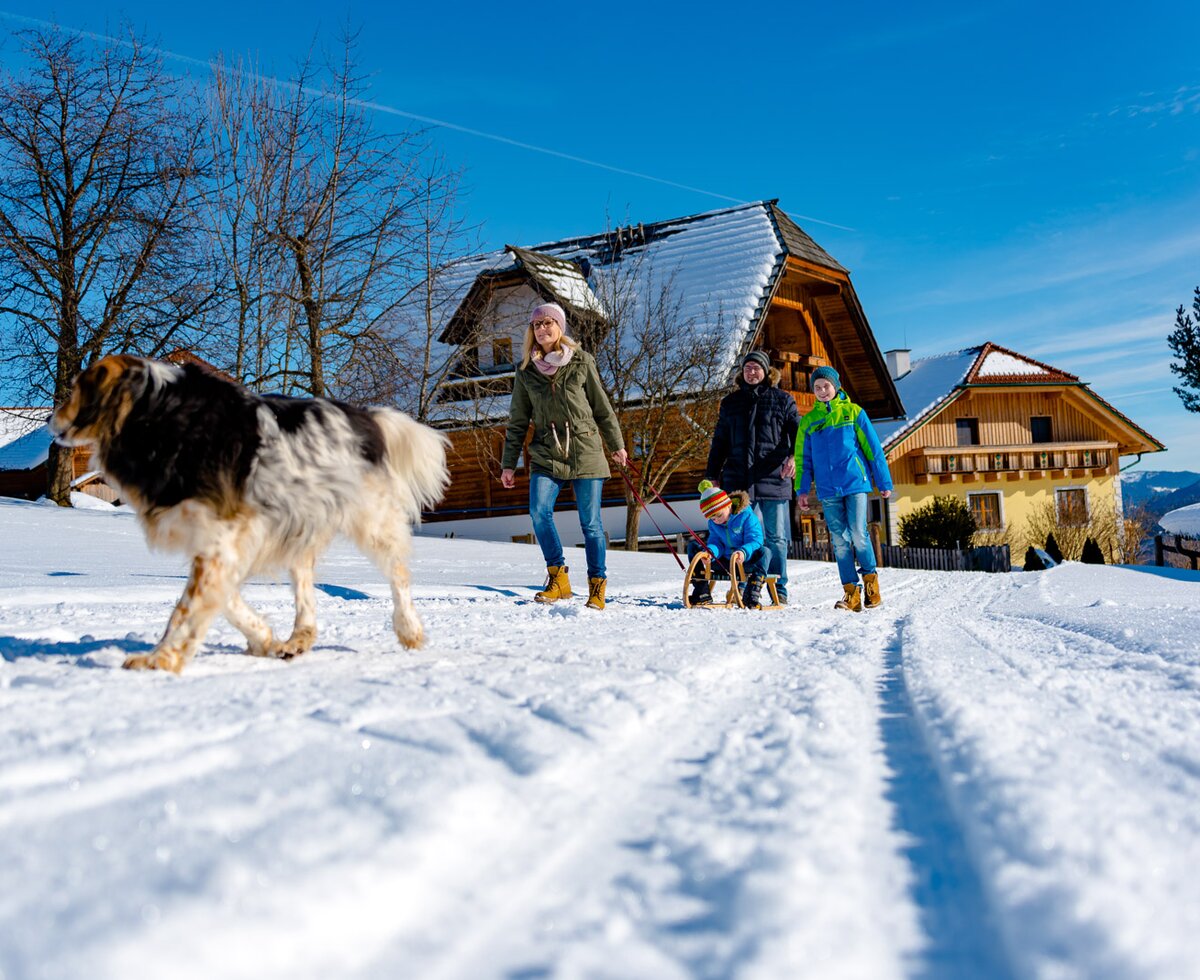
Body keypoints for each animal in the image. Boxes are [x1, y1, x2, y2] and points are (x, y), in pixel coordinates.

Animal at [49, 357, 451, 671]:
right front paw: (263, 639)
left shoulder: (222, 539)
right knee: (305, 589)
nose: (51, 419)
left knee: (398, 575)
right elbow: (221, 598)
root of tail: (366, 416)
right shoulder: (219, 541)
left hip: (372, 521)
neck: (160, 417)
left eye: (75, 389)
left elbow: (186, 609)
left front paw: (158, 660)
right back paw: (297, 639)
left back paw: (409, 630)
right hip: (299, 526)